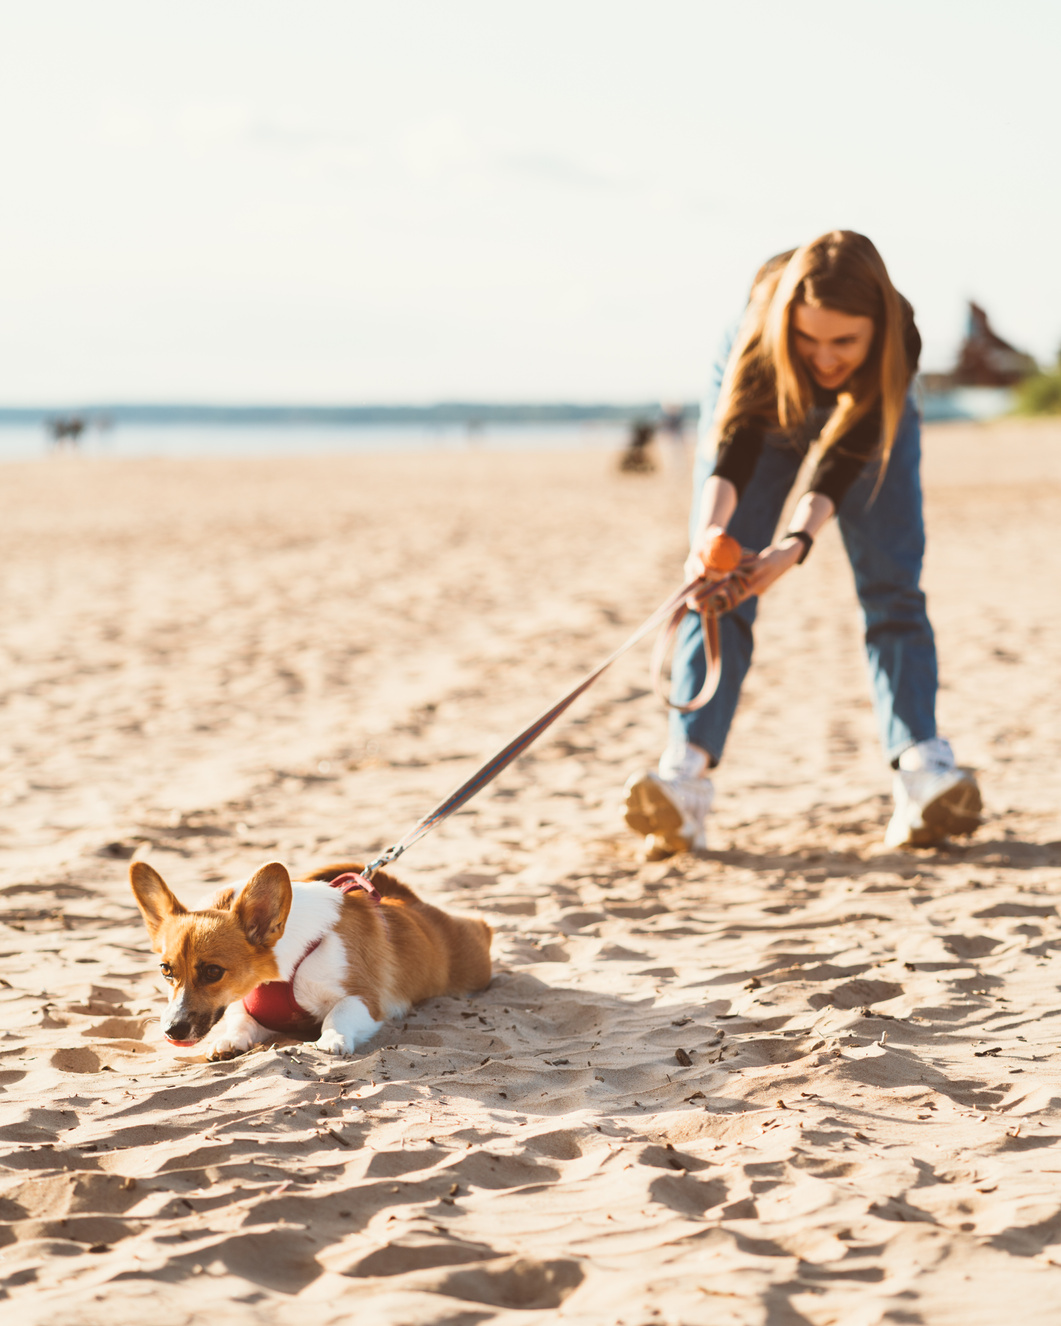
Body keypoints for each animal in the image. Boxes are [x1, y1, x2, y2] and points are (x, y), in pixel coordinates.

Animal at [130, 859, 490, 1055]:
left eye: (213, 972)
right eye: (165, 970)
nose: (171, 1031)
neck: (284, 971)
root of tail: (410, 901)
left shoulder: (365, 1000)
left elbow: (338, 1014)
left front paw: (331, 1038)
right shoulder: (246, 1008)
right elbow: (239, 1020)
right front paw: (230, 1041)